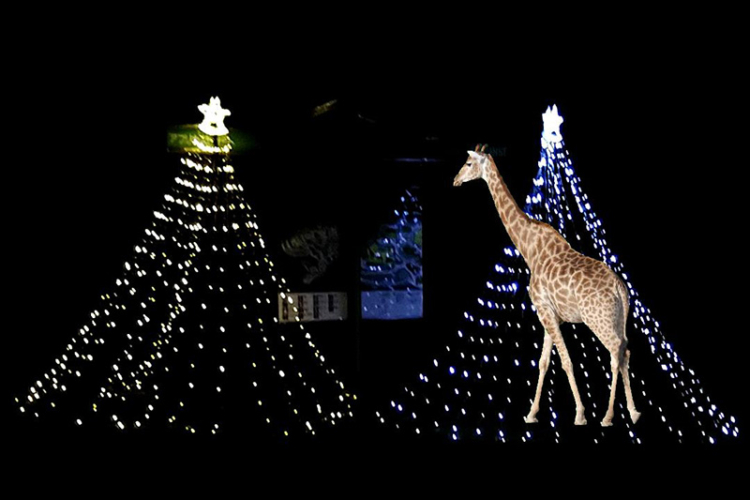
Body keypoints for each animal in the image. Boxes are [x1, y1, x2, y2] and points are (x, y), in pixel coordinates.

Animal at [452, 144, 640, 426]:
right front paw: (531, 413)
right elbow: (542, 362)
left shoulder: (544, 311)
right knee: (625, 351)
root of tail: (620, 288)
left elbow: (566, 361)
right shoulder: (549, 314)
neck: (529, 248)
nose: (455, 180)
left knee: (615, 352)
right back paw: (634, 412)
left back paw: (608, 416)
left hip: (598, 319)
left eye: (468, 163)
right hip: (618, 317)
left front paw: (580, 414)